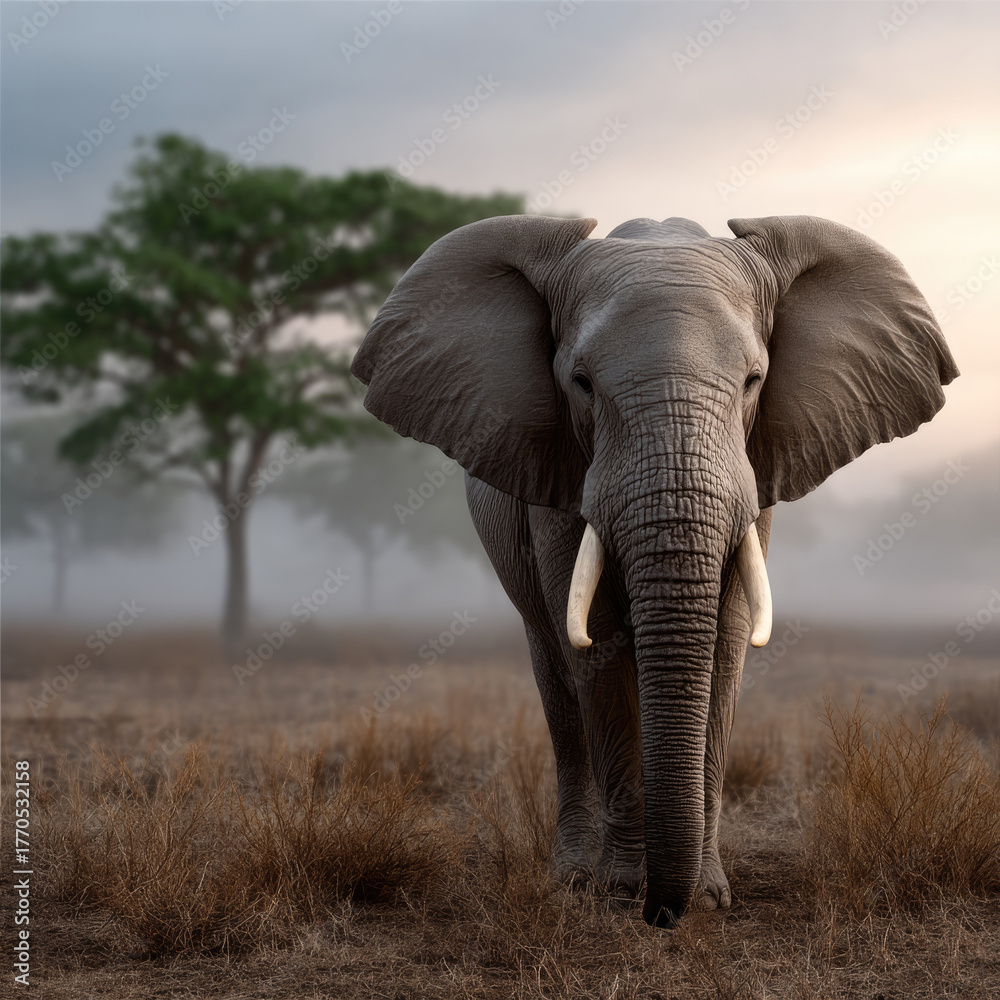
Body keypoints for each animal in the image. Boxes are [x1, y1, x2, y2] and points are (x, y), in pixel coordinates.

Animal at [350, 213, 958, 928]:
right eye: (581, 383)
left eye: (754, 381)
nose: (662, 916)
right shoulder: (561, 476)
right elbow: (600, 647)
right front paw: (619, 893)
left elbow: (725, 645)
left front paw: (710, 898)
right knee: (557, 680)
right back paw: (574, 877)